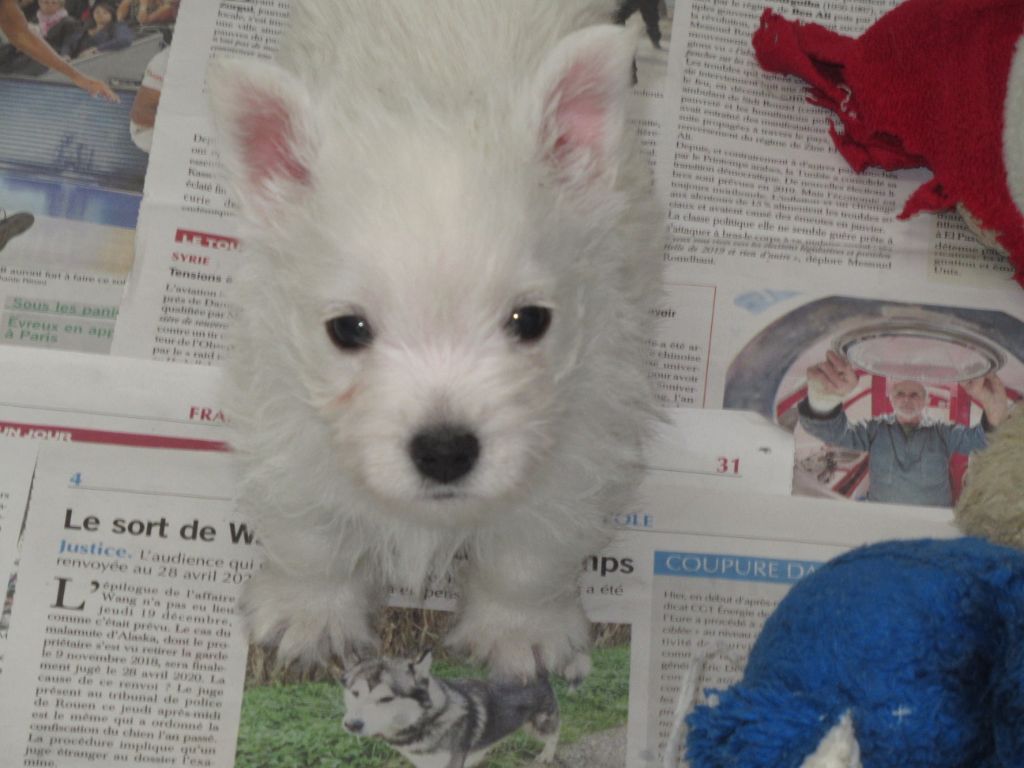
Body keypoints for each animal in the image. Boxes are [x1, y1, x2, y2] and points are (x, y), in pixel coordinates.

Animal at [207, 1, 663, 684]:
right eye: (348, 329)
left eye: (531, 320)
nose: (445, 452)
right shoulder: (288, 416)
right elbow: (311, 532)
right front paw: (308, 615)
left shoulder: (576, 437)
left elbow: (529, 553)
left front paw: (519, 633)